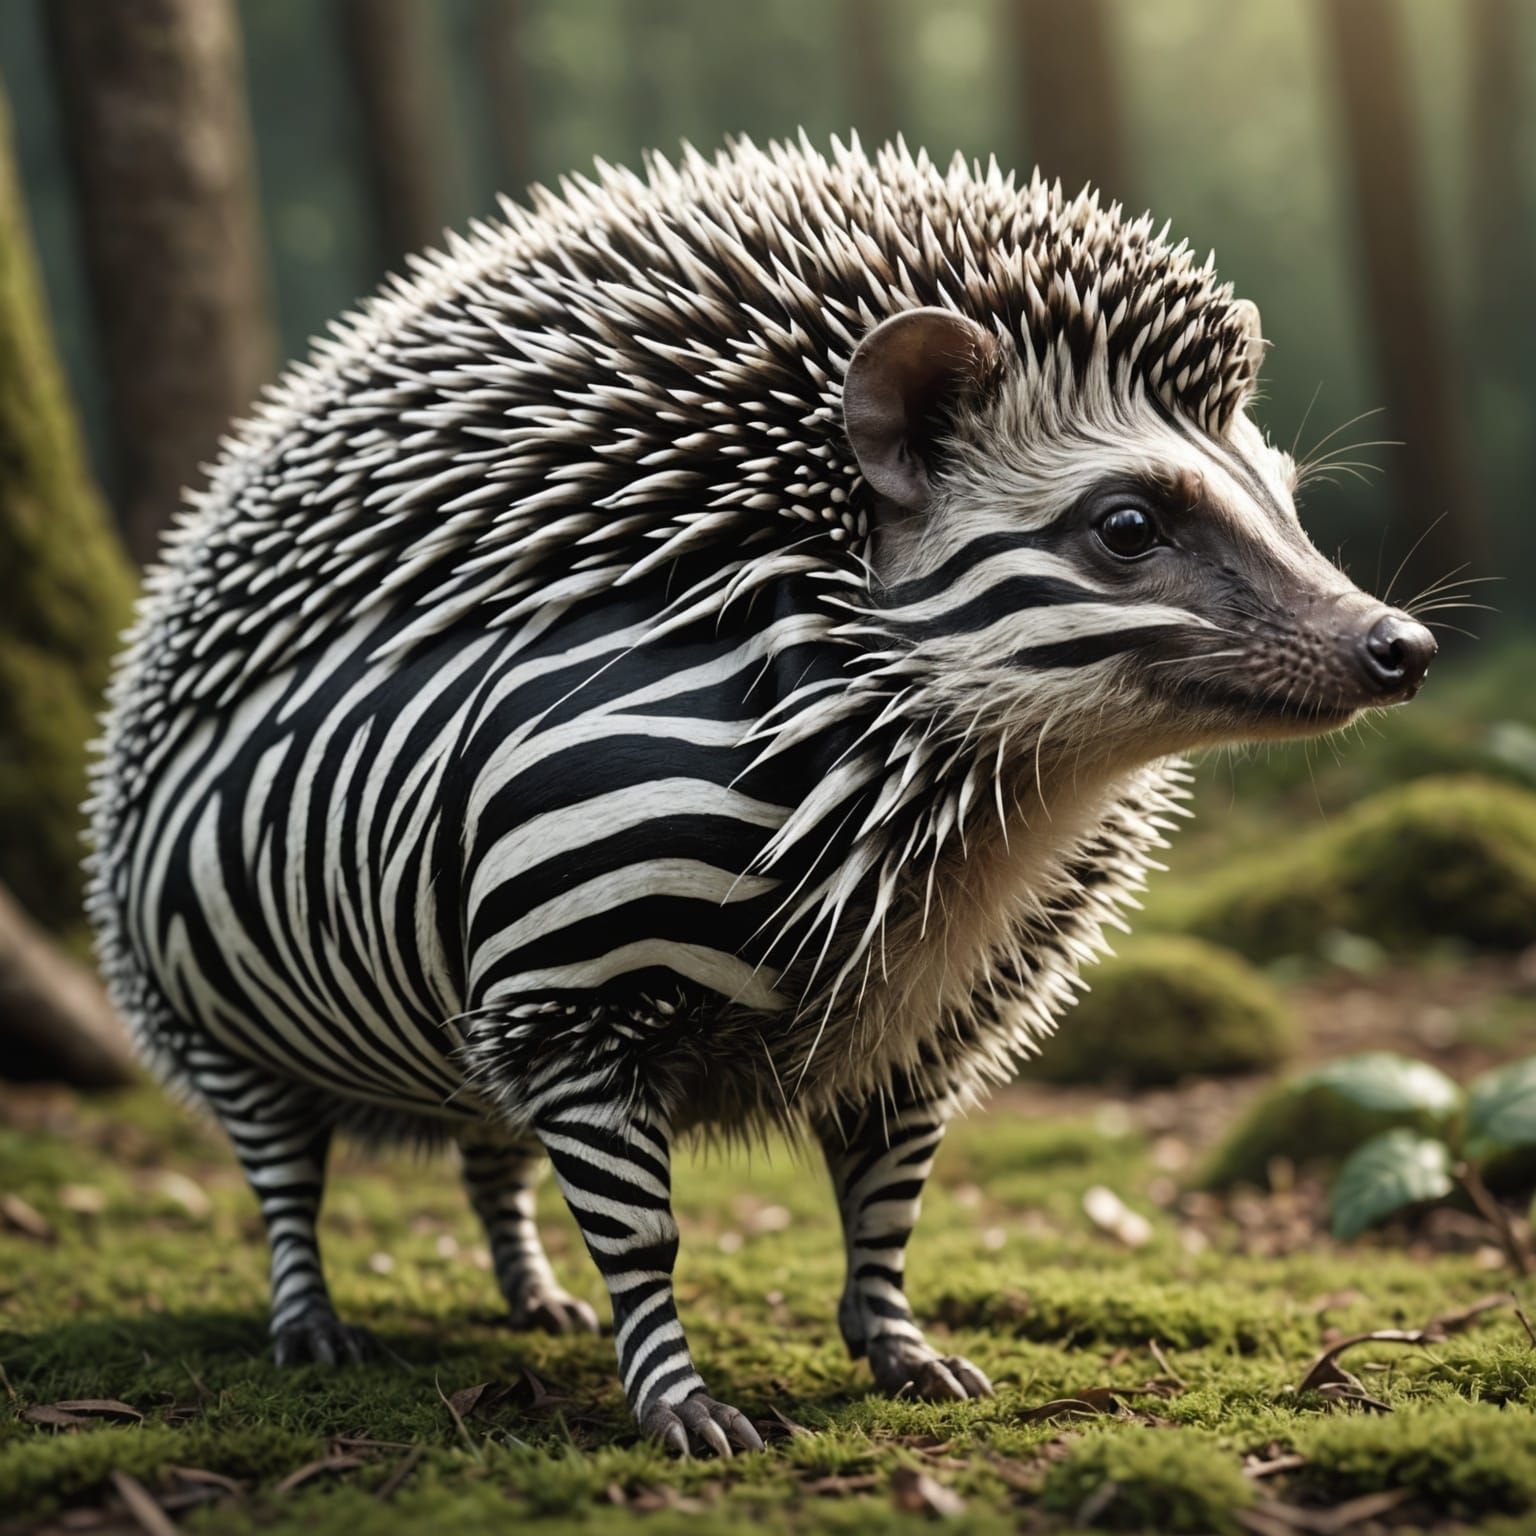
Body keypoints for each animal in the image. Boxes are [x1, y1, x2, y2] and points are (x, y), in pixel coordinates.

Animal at [88, 137, 1435, 1454]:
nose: (1401, 648)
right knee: (284, 1167)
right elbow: (641, 1227)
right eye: (1126, 526)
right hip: (204, 997)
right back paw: (310, 1318)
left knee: (484, 1148)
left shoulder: (943, 996)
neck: (960, 801)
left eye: (1290, 500)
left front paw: (904, 1351)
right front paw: (679, 1404)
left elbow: (889, 1193)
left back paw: (531, 1297)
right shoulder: (566, 970)